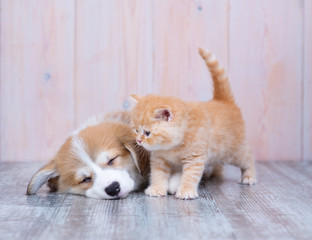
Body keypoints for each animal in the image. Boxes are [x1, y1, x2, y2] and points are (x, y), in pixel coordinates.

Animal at [129, 47, 256, 200]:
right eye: (136, 130)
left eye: (147, 133)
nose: (139, 140)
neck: (172, 147)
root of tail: (224, 101)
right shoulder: (159, 158)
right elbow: (158, 174)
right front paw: (156, 188)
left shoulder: (195, 158)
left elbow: (190, 175)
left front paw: (186, 191)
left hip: (234, 152)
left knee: (248, 158)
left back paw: (249, 176)